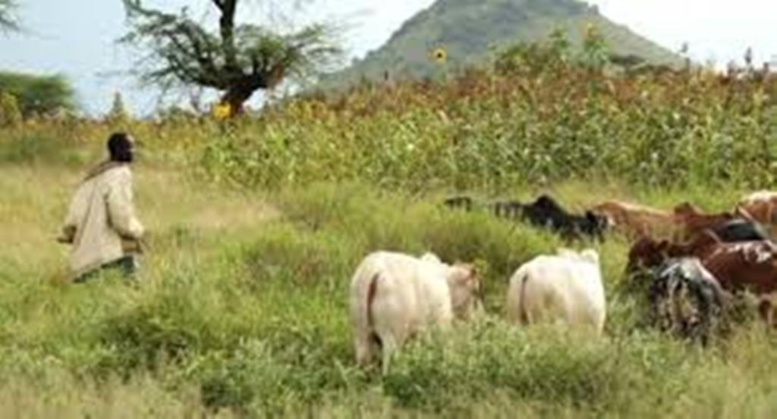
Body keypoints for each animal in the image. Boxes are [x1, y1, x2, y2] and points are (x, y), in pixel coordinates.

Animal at [350, 251, 482, 376]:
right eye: (475, 291)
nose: (478, 320)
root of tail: (376, 269)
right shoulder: (439, 328)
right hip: (392, 338)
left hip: (360, 333)